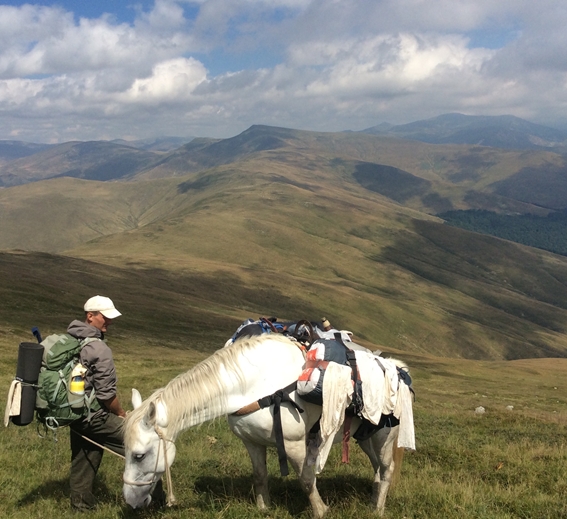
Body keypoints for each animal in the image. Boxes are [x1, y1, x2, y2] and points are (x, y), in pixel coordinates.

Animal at [122, 336, 412, 516]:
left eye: (139, 455)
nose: (130, 500)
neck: (255, 384)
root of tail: (397, 370)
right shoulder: (251, 442)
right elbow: (259, 475)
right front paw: (264, 507)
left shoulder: (294, 444)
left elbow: (306, 480)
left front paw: (320, 510)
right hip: (365, 437)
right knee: (377, 470)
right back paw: (373, 502)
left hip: (384, 438)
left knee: (386, 470)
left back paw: (378, 509)